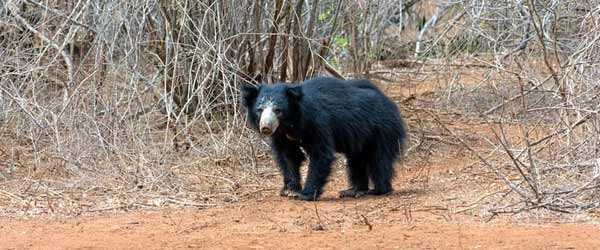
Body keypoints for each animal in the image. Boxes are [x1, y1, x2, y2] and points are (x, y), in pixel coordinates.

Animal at [241, 76, 406, 201]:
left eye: (278, 110)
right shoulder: (282, 136)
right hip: (360, 137)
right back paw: (354, 190)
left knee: (380, 160)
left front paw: (305, 194)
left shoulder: (316, 122)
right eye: (260, 110)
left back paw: (379, 190)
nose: (266, 127)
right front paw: (290, 190)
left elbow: (321, 154)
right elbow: (289, 156)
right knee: (356, 161)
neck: (290, 124)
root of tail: (390, 103)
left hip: (382, 130)